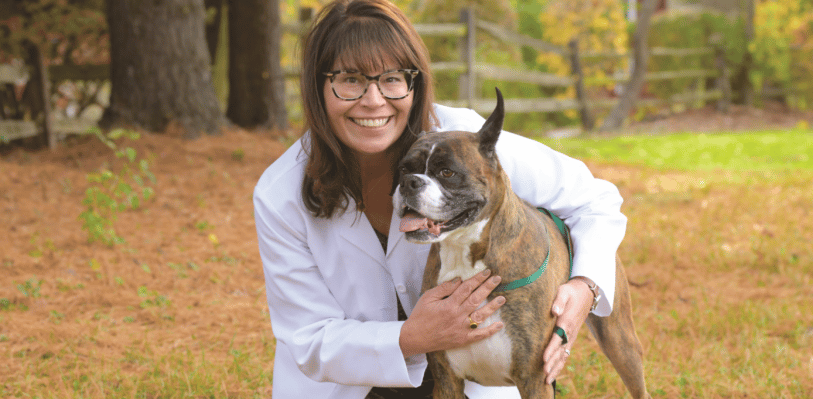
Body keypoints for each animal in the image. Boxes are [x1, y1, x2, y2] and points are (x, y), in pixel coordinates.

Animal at [390, 90, 652, 399]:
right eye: (403, 169)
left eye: (447, 172)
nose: (409, 182)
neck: (464, 254)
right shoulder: (446, 382)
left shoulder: (535, 379)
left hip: (620, 342)